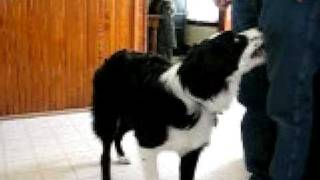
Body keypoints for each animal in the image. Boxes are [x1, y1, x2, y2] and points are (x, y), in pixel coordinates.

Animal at [92, 28, 264, 180]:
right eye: (236, 41)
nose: (261, 29)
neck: (194, 98)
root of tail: (115, 56)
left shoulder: (191, 151)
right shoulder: (147, 146)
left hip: (131, 119)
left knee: (118, 133)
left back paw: (121, 156)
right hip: (107, 117)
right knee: (104, 154)